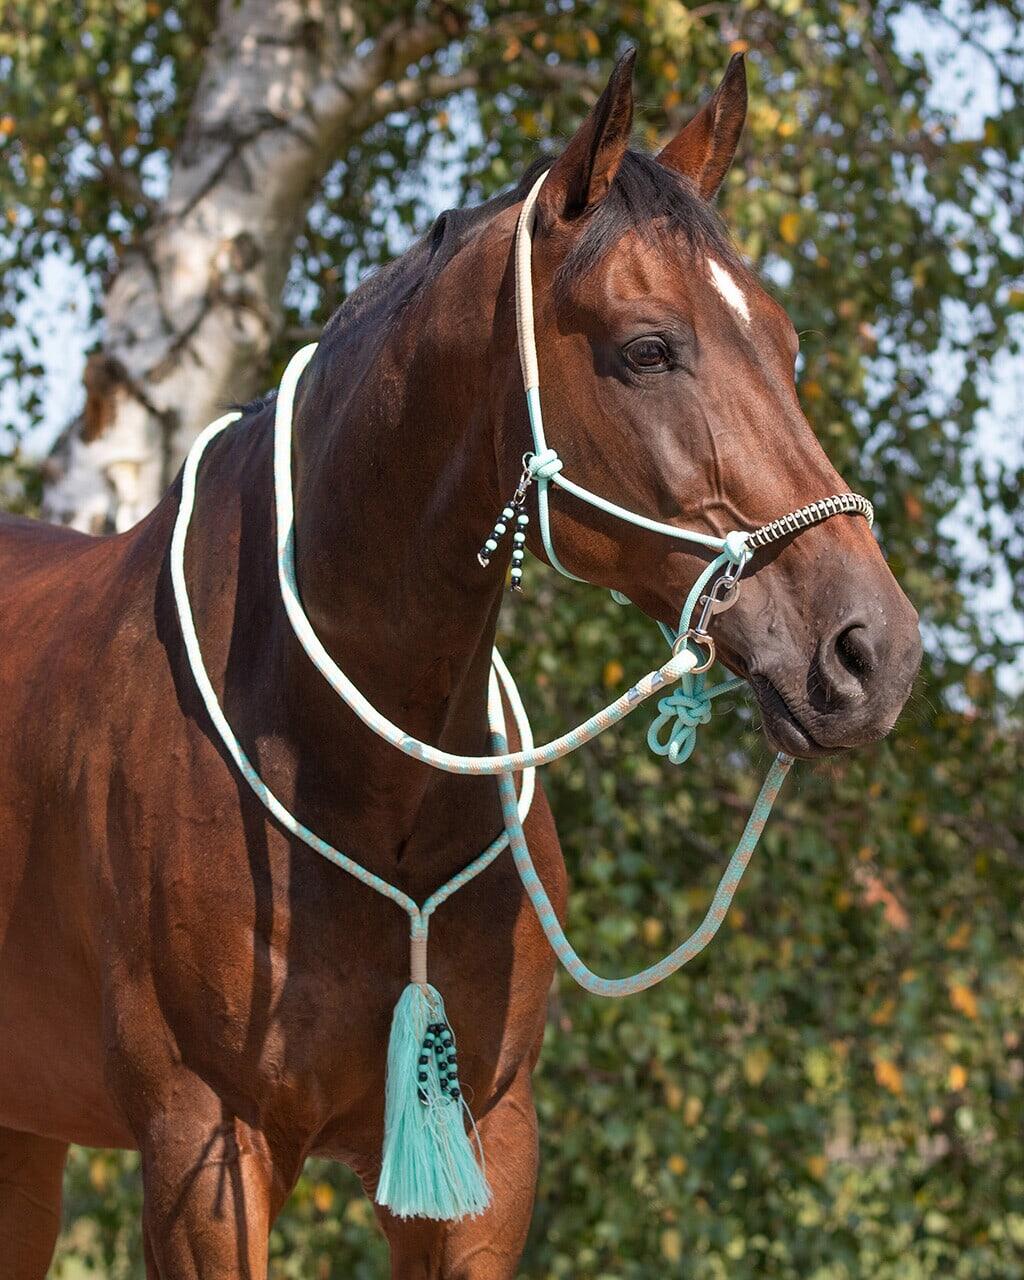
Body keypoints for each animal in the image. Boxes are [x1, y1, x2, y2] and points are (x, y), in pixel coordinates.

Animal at [0, 50, 921, 1278]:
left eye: (782, 343)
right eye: (646, 348)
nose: (872, 648)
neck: (348, 766)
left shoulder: (489, 1146)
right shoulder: (205, 1152)